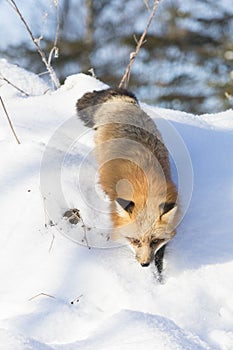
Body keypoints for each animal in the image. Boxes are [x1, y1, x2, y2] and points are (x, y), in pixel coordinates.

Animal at [76, 88, 178, 276]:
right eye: (135, 240)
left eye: (154, 241)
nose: (144, 264)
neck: (145, 185)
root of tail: (122, 103)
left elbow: (160, 255)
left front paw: (159, 275)